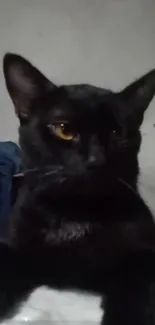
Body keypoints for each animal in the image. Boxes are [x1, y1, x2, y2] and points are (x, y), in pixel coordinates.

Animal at [0, 53, 155, 322]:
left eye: (116, 132)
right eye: (64, 130)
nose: (96, 160)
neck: (76, 215)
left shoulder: (145, 253)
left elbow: (136, 288)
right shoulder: (12, 246)